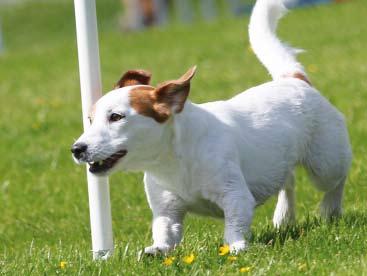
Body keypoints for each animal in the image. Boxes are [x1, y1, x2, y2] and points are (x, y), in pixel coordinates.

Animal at [71, 0, 350, 254]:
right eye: (90, 119)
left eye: (116, 117)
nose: (76, 149)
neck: (173, 159)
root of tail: (294, 79)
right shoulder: (167, 208)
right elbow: (164, 232)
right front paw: (156, 249)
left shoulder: (235, 195)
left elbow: (234, 225)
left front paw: (236, 248)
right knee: (288, 180)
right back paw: (284, 216)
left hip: (325, 163)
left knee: (337, 179)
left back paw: (330, 211)